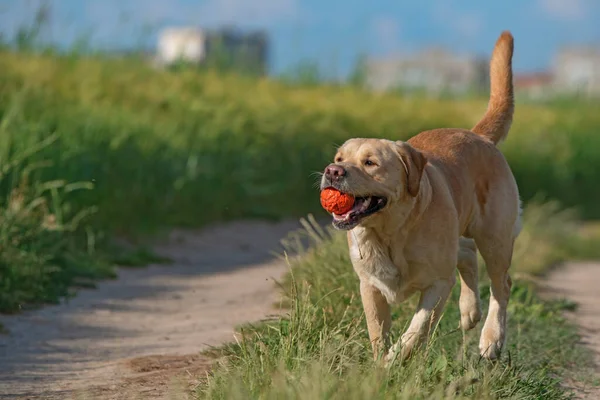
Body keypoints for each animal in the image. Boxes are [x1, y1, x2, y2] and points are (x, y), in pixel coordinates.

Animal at [318, 31, 520, 362]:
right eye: (338, 158)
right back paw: (469, 312)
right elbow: (378, 332)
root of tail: (479, 135)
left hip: (495, 237)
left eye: (370, 162)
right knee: (467, 253)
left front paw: (394, 360)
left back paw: (491, 339)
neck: (390, 233)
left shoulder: (437, 283)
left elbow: (415, 330)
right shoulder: (369, 286)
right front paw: (380, 363)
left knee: (501, 284)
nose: (332, 171)